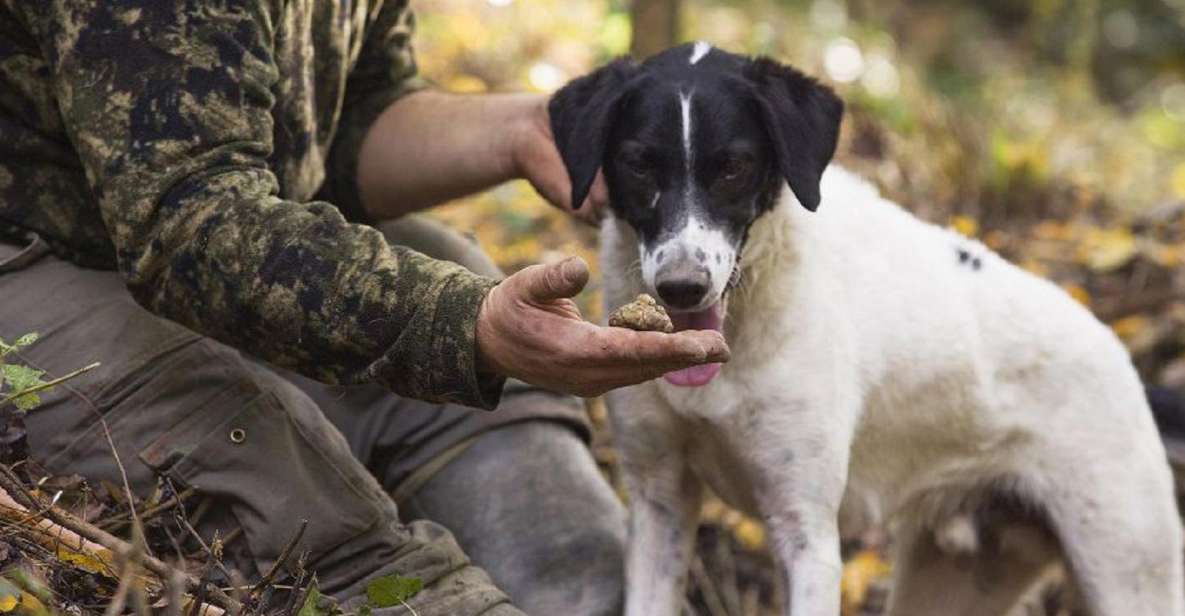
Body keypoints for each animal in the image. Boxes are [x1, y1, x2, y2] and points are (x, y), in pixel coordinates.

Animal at [547, 43, 1185, 616]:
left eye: (733, 166)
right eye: (638, 163)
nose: (682, 287)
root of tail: (1126, 364)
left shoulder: (806, 532)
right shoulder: (659, 501)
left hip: (1129, 573)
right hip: (955, 580)